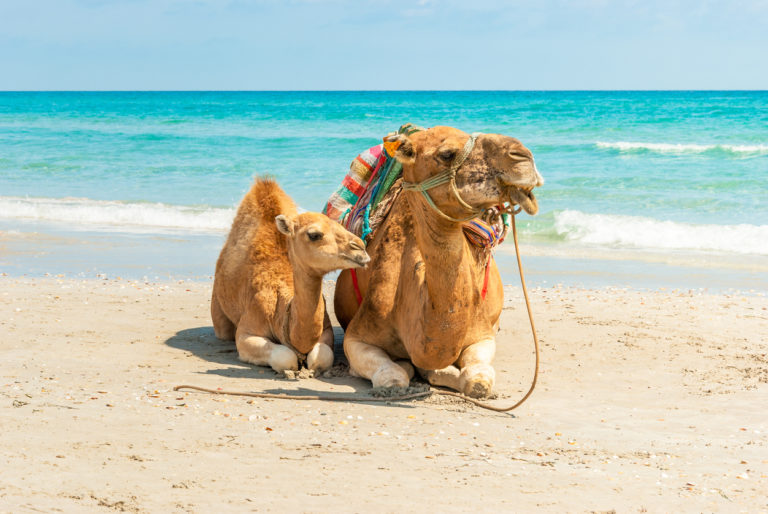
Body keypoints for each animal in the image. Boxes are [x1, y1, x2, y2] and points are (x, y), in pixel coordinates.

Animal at [212, 177, 370, 372]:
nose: (360, 248)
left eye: (340, 225)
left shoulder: (326, 330)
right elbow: (285, 356)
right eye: (314, 234)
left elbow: (322, 357)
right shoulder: (247, 330)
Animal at [332, 125, 544, 396]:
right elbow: (393, 377)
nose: (523, 156)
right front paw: (408, 367)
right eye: (447, 154)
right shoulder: (357, 335)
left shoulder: (482, 335)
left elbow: (476, 379)